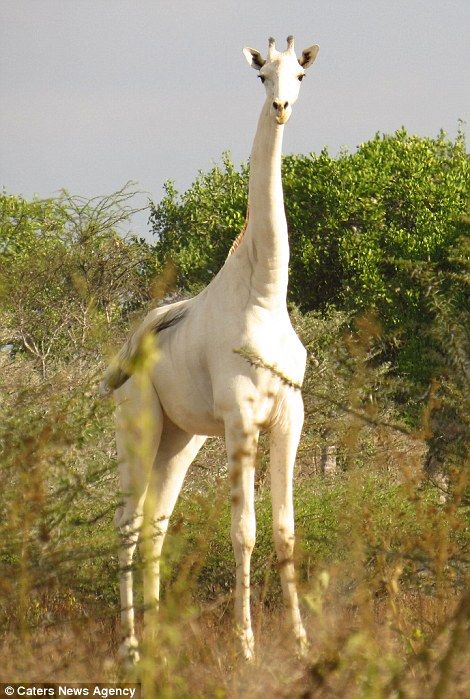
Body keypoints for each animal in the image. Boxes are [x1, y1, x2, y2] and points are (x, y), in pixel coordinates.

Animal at [103, 35, 320, 664]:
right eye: (262, 74)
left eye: (301, 75)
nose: (282, 107)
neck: (265, 296)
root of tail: (125, 352)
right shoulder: (241, 417)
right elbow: (243, 531)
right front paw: (246, 646)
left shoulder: (290, 414)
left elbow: (285, 529)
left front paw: (301, 642)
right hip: (139, 425)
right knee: (126, 524)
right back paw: (130, 647)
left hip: (181, 439)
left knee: (157, 523)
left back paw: (158, 641)